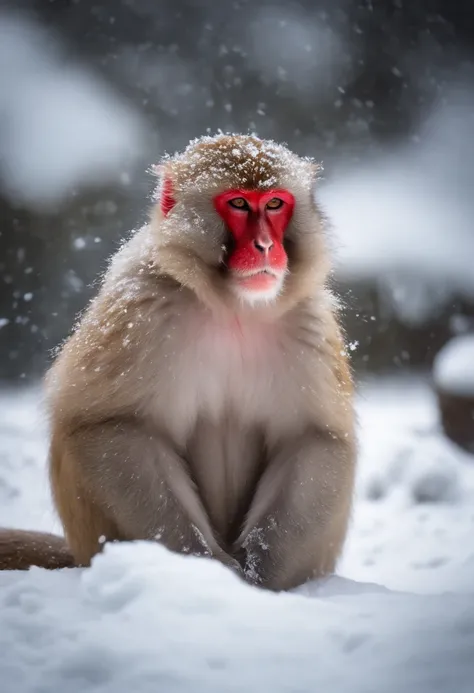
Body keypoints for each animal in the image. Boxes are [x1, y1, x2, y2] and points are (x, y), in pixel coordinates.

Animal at [0, 134, 356, 588]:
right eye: (238, 204)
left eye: (275, 203)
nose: (265, 247)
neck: (234, 308)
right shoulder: (143, 311)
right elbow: (110, 425)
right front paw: (209, 566)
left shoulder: (308, 325)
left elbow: (313, 439)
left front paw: (260, 574)